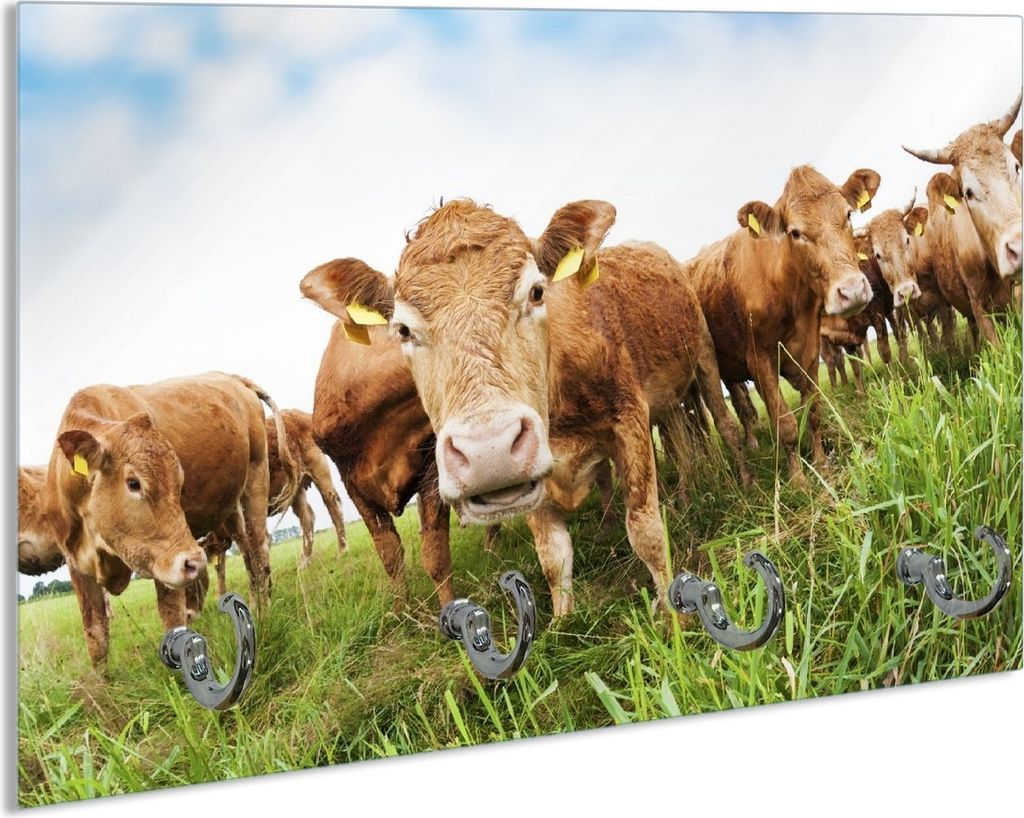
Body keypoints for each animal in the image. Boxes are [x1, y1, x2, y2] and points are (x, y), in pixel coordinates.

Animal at [41, 372, 295, 666]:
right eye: (134, 483)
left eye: (179, 484)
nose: (195, 561)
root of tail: (231, 378)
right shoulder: (77, 564)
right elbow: (96, 639)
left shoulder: (166, 559)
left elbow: (171, 617)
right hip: (231, 507)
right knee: (247, 550)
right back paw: (252, 607)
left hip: (256, 476)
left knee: (258, 547)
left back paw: (264, 612)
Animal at [203, 409, 349, 596]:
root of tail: (297, 413)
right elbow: (221, 566)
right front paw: (222, 594)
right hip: (295, 488)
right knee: (307, 518)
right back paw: (305, 562)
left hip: (319, 468)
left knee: (333, 503)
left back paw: (343, 549)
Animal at [301, 199, 751, 617]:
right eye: (403, 330)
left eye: (536, 292)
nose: (490, 450)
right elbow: (552, 553)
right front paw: (563, 621)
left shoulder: (629, 419)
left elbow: (645, 529)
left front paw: (671, 612)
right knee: (683, 447)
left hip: (704, 359)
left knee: (724, 425)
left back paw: (742, 484)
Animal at [680, 165, 880, 482]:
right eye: (794, 232)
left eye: (848, 214)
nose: (852, 290)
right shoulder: (761, 362)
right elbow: (785, 424)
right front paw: (798, 479)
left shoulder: (810, 355)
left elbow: (813, 414)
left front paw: (821, 464)